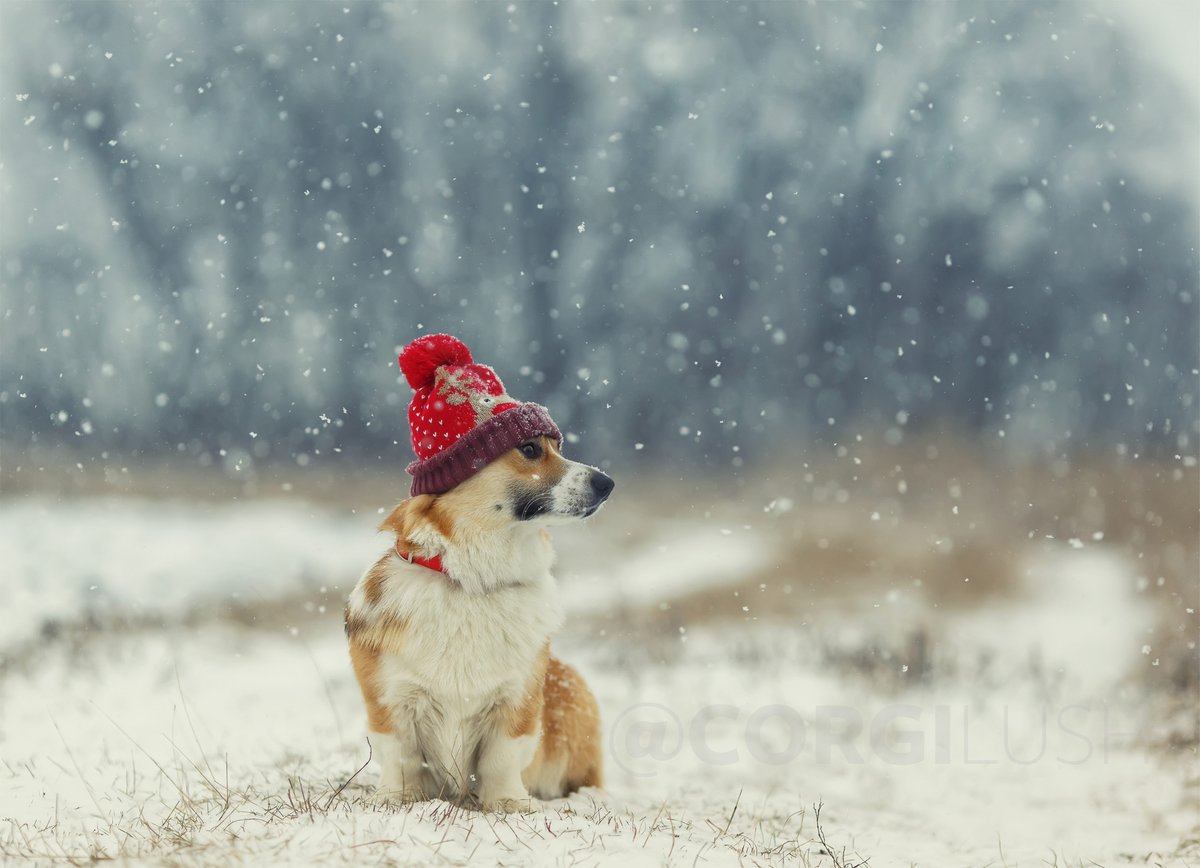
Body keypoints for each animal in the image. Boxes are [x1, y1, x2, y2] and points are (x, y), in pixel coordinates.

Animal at [345, 432, 609, 811]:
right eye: (530, 449)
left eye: (557, 447)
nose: (607, 483)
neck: (472, 581)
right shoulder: (390, 700)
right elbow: (401, 757)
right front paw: (397, 799)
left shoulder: (516, 700)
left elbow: (500, 758)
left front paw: (509, 803)